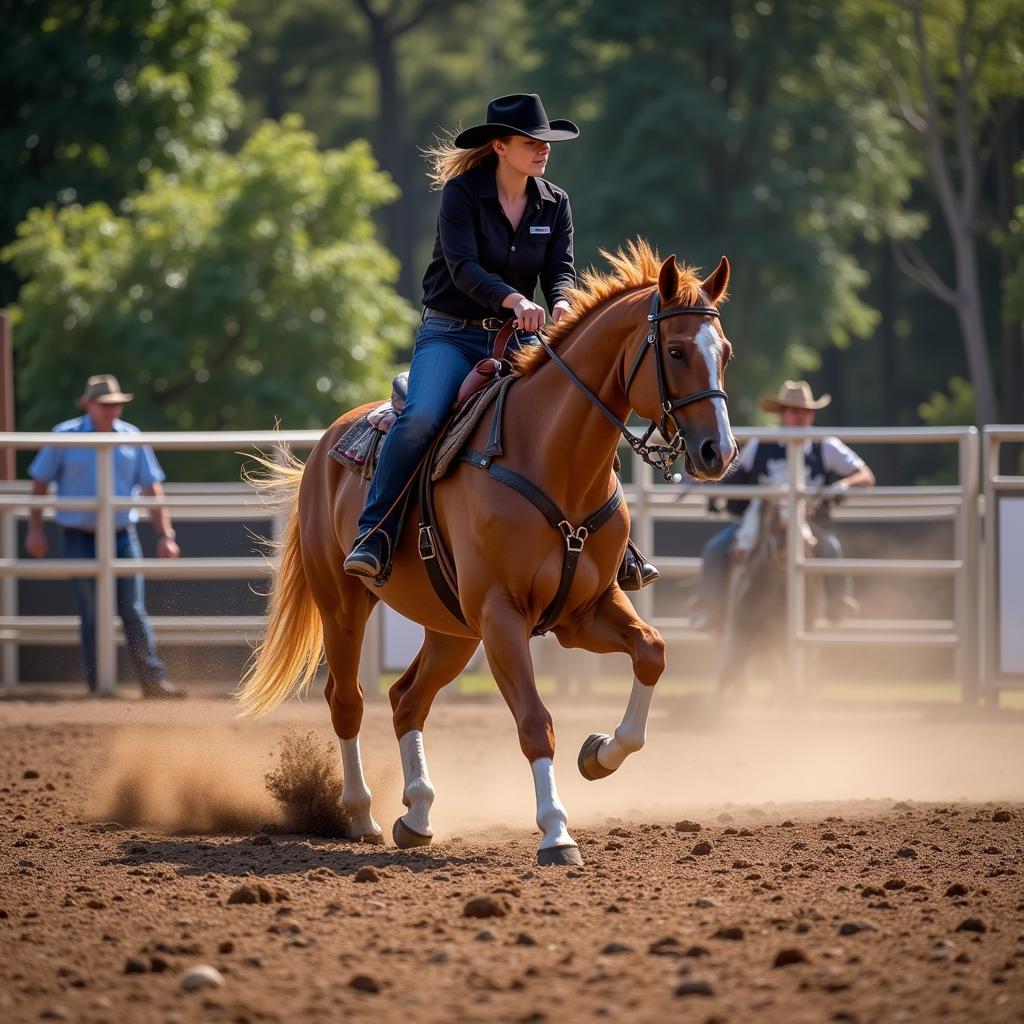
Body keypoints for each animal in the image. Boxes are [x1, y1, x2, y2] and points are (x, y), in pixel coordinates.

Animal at [237, 241, 737, 864]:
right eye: (674, 349)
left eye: (725, 352)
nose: (719, 452)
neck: (552, 460)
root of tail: (325, 447)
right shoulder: (502, 615)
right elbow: (534, 721)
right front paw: (556, 832)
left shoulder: (584, 611)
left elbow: (652, 652)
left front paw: (600, 752)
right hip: (345, 605)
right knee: (347, 699)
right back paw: (360, 815)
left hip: (453, 629)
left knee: (407, 699)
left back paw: (417, 814)